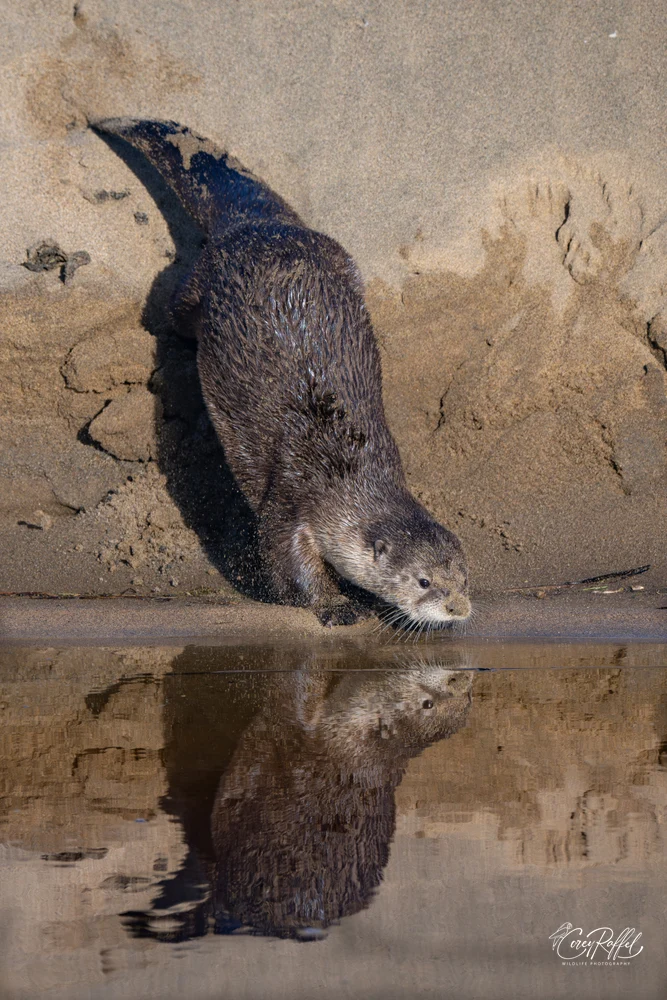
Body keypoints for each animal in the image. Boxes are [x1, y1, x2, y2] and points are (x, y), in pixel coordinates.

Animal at [92, 118, 471, 627]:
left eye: (463, 577)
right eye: (424, 581)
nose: (459, 608)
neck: (344, 472)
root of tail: (258, 225)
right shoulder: (292, 495)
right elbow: (286, 556)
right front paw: (335, 605)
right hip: (203, 280)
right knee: (177, 307)